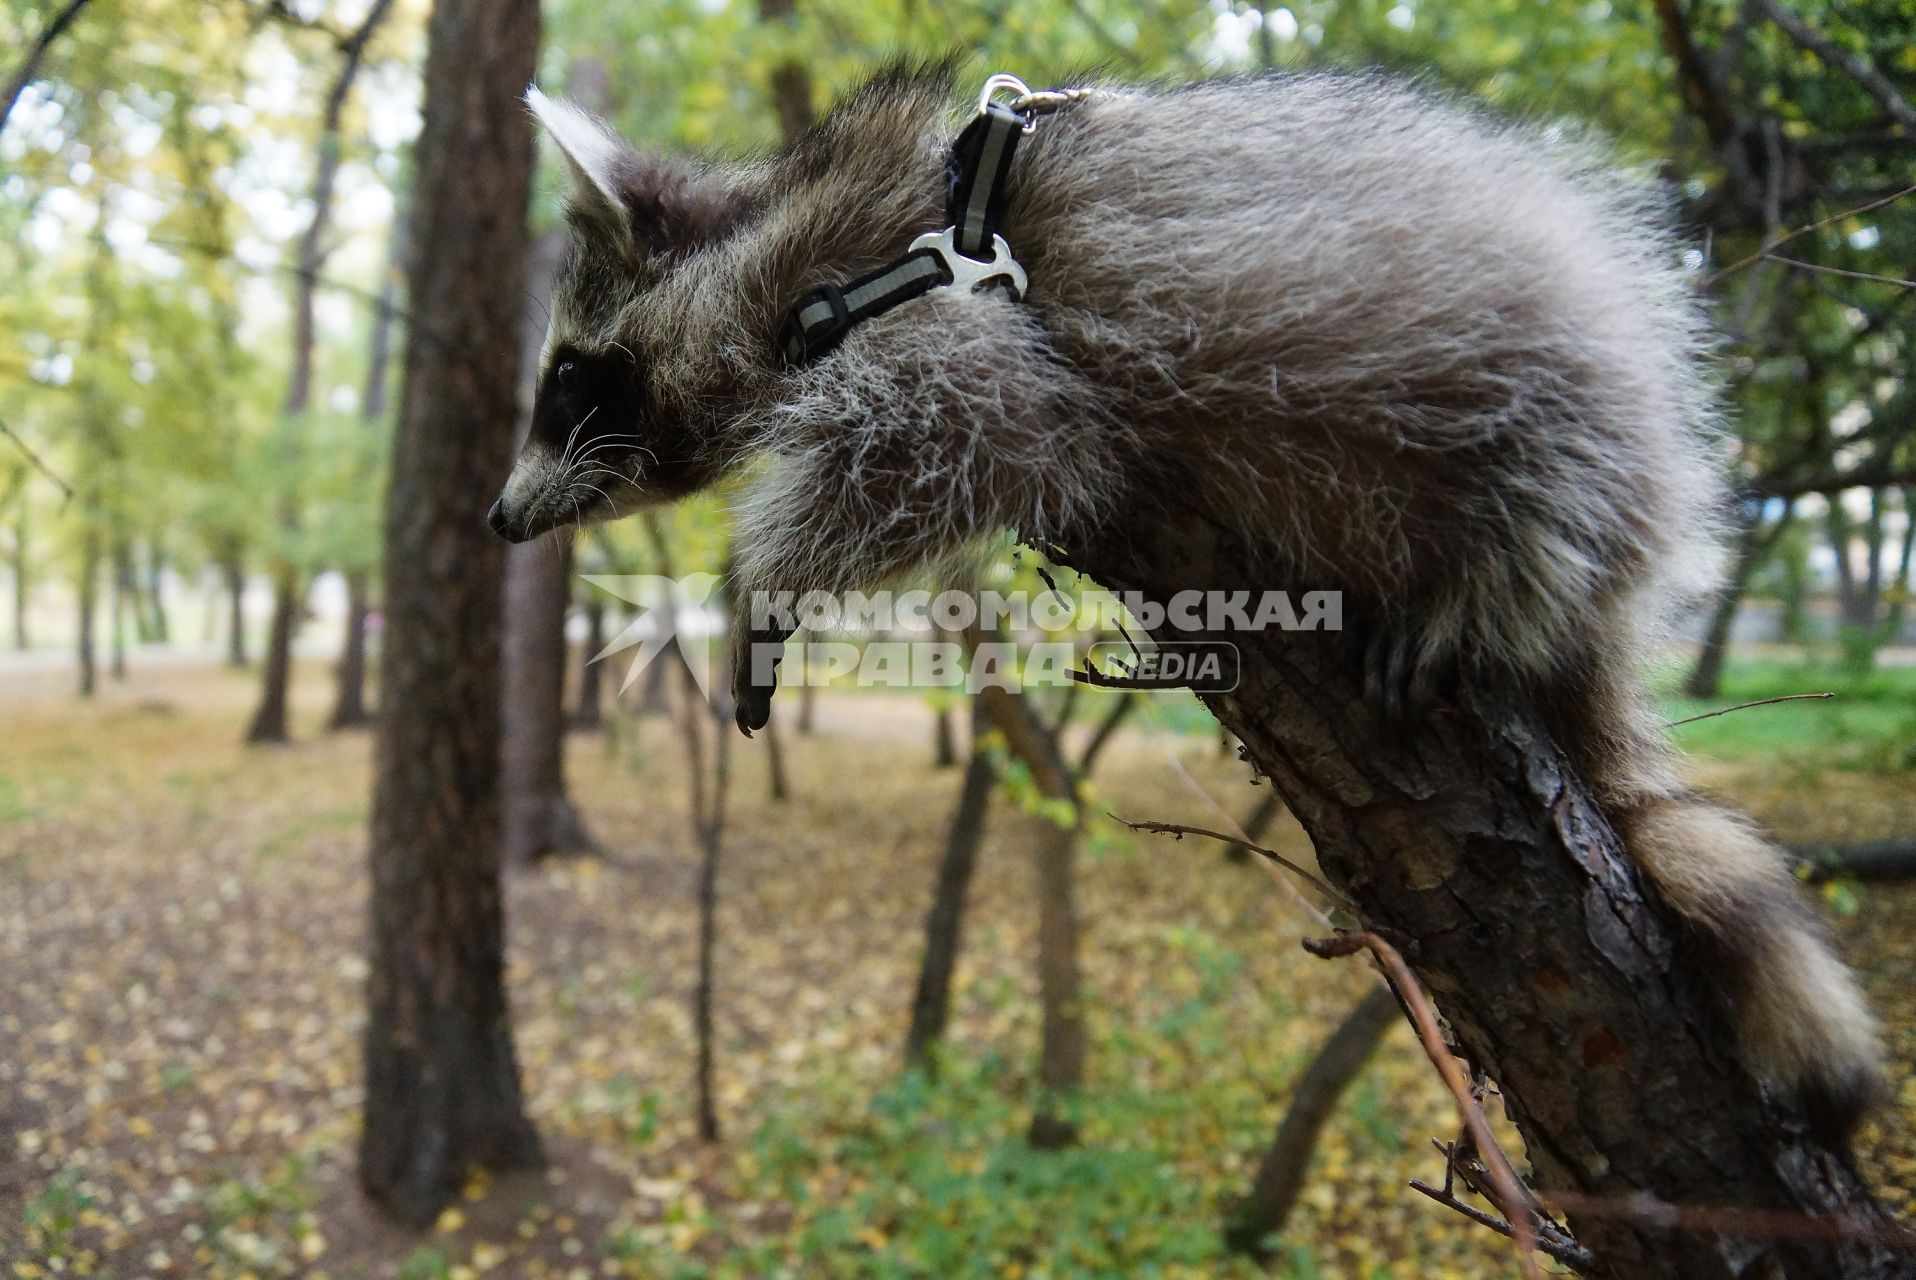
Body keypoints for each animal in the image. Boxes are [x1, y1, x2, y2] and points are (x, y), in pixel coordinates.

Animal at [490, 62, 1885, 1126]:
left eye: (564, 377)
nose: (501, 518)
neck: (795, 242)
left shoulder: (950, 331)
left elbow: (962, 439)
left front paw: (762, 578)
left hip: (1556, 358)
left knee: (1551, 473)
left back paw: (1496, 577)